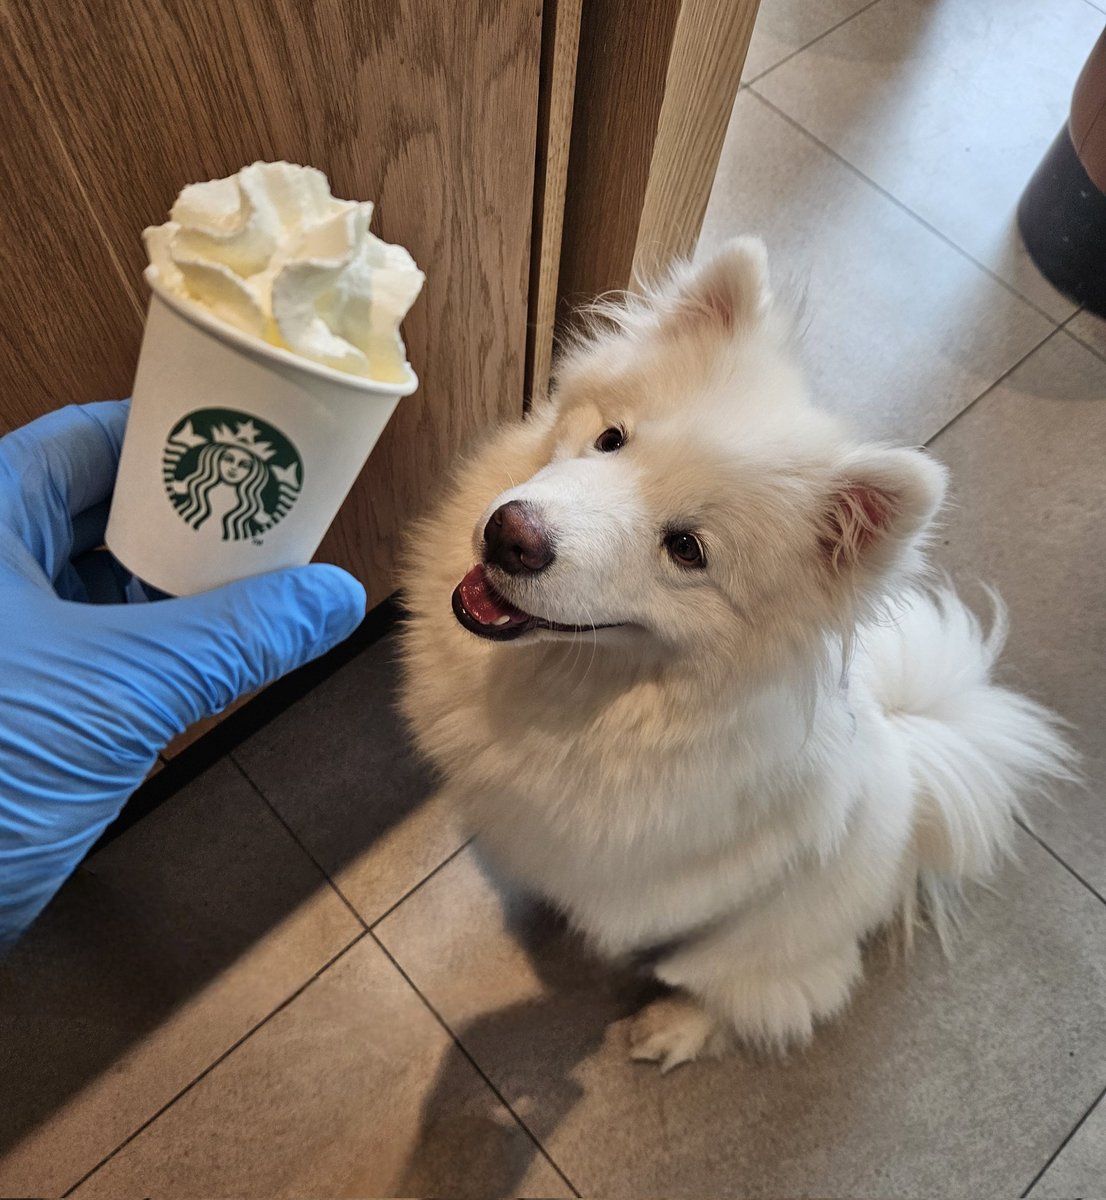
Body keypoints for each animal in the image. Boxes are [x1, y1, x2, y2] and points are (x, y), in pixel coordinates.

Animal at [393, 234, 1070, 1070]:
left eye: (687, 548)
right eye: (611, 439)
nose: (509, 535)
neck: (592, 696)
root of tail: (913, 789)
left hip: (750, 950)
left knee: (760, 1000)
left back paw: (665, 1029)